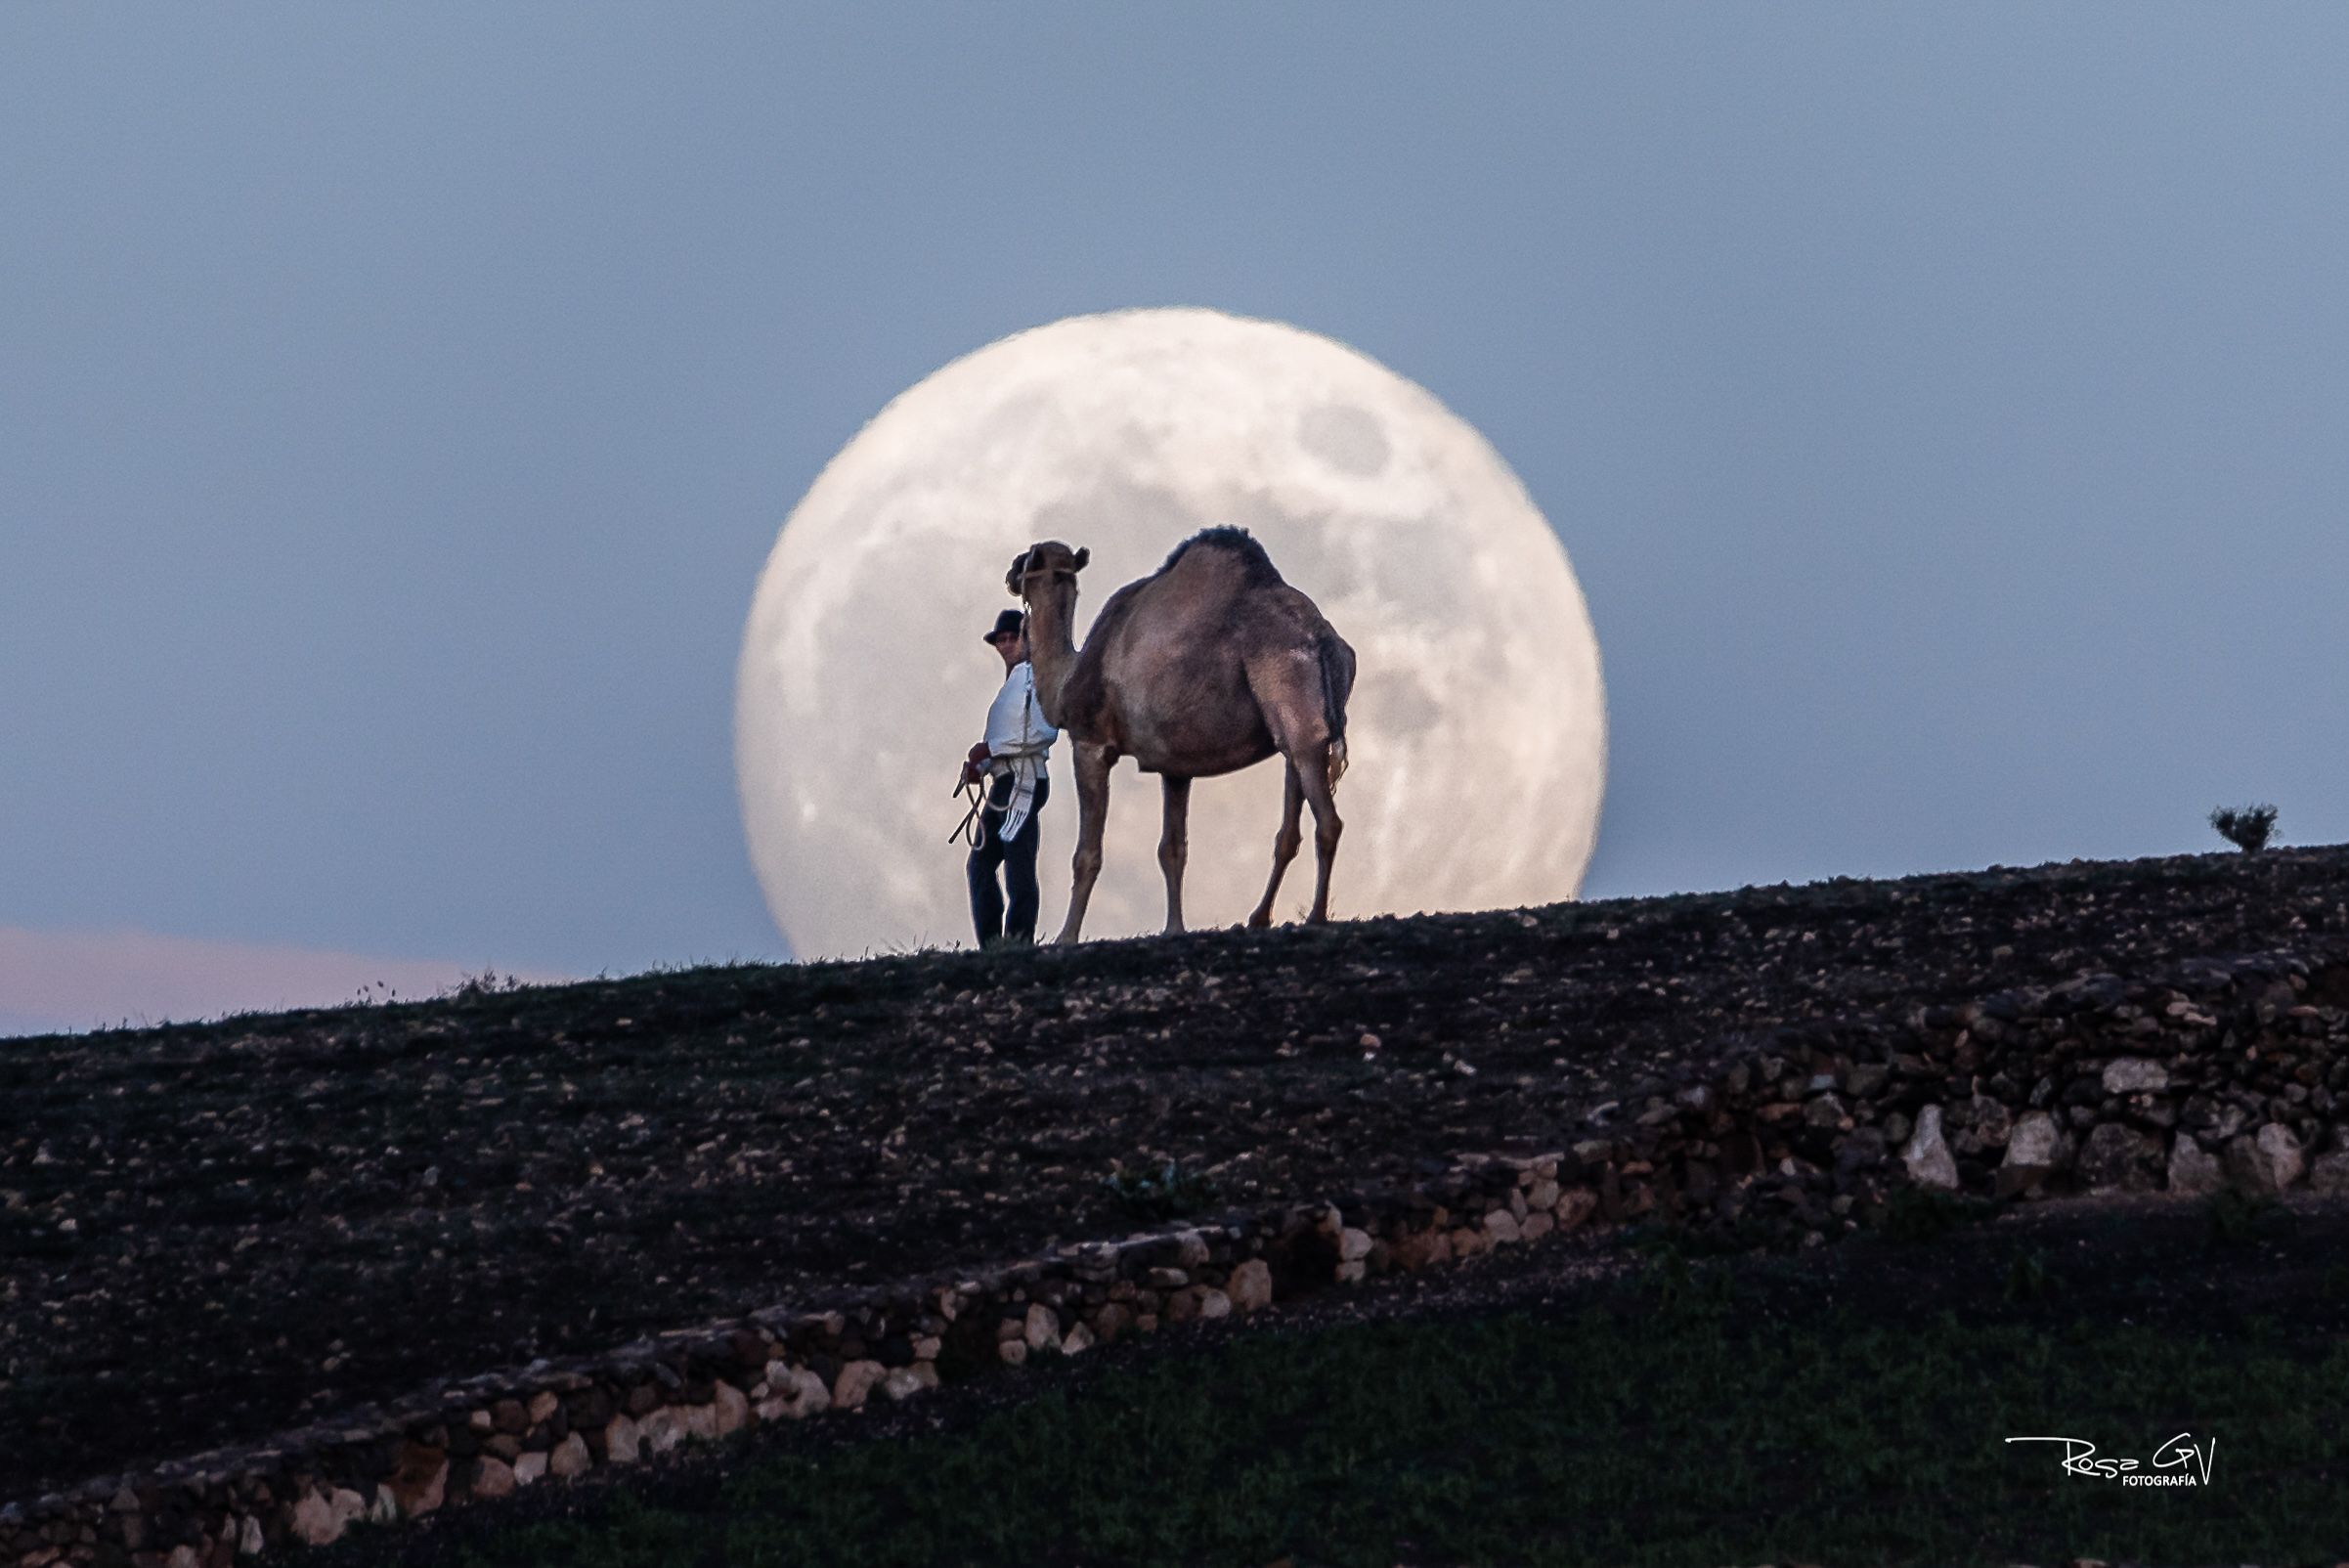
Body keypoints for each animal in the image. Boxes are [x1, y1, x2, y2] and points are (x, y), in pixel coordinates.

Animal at [995, 526, 1362, 944]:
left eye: (1028, 557)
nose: (1010, 572)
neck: (1067, 676)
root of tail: (1324, 639)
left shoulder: (1090, 743)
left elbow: (1087, 854)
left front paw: (1066, 936)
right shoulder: (1175, 764)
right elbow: (1172, 849)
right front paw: (1174, 927)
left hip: (1293, 697)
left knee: (1328, 821)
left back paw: (1315, 916)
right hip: (1299, 733)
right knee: (1290, 826)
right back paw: (1259, 918)